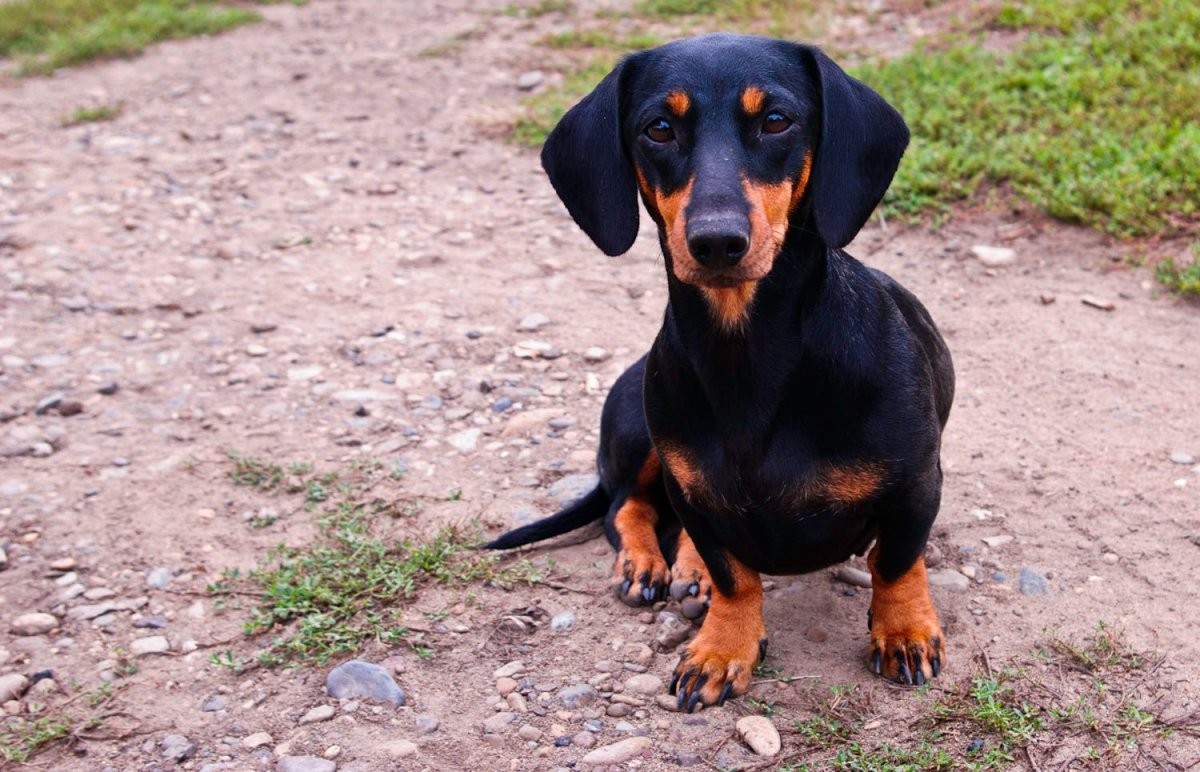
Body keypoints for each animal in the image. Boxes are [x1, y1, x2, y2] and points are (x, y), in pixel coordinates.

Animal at [482, 34, 950, 710]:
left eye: (776, 120)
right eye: (658, 128)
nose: (717, 242)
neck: (750, 357)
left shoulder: (916, 486)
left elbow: (896, 562)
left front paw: (906, 631)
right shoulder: (695, 495)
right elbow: (735, 577)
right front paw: (723, 646)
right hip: (640, 428)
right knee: (623, 506)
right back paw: (650, 565)